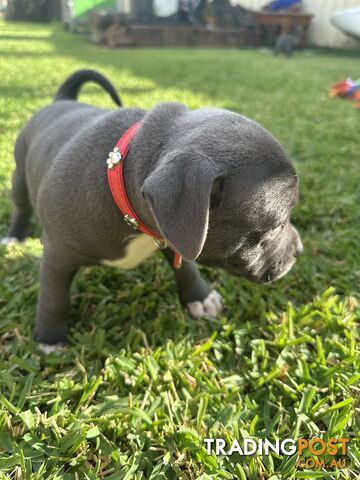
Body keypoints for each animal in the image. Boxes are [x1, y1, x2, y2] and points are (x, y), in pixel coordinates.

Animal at [1, 70, 302, 348]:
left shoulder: (175, 233)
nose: (299, 249)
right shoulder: (57, 254)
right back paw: (15, 235)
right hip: (20, 174)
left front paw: (200, 297)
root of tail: (62, 100)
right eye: (275, 225)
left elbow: (186, 267)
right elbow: (53, 293)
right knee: (21, 204)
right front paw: (50, 337)